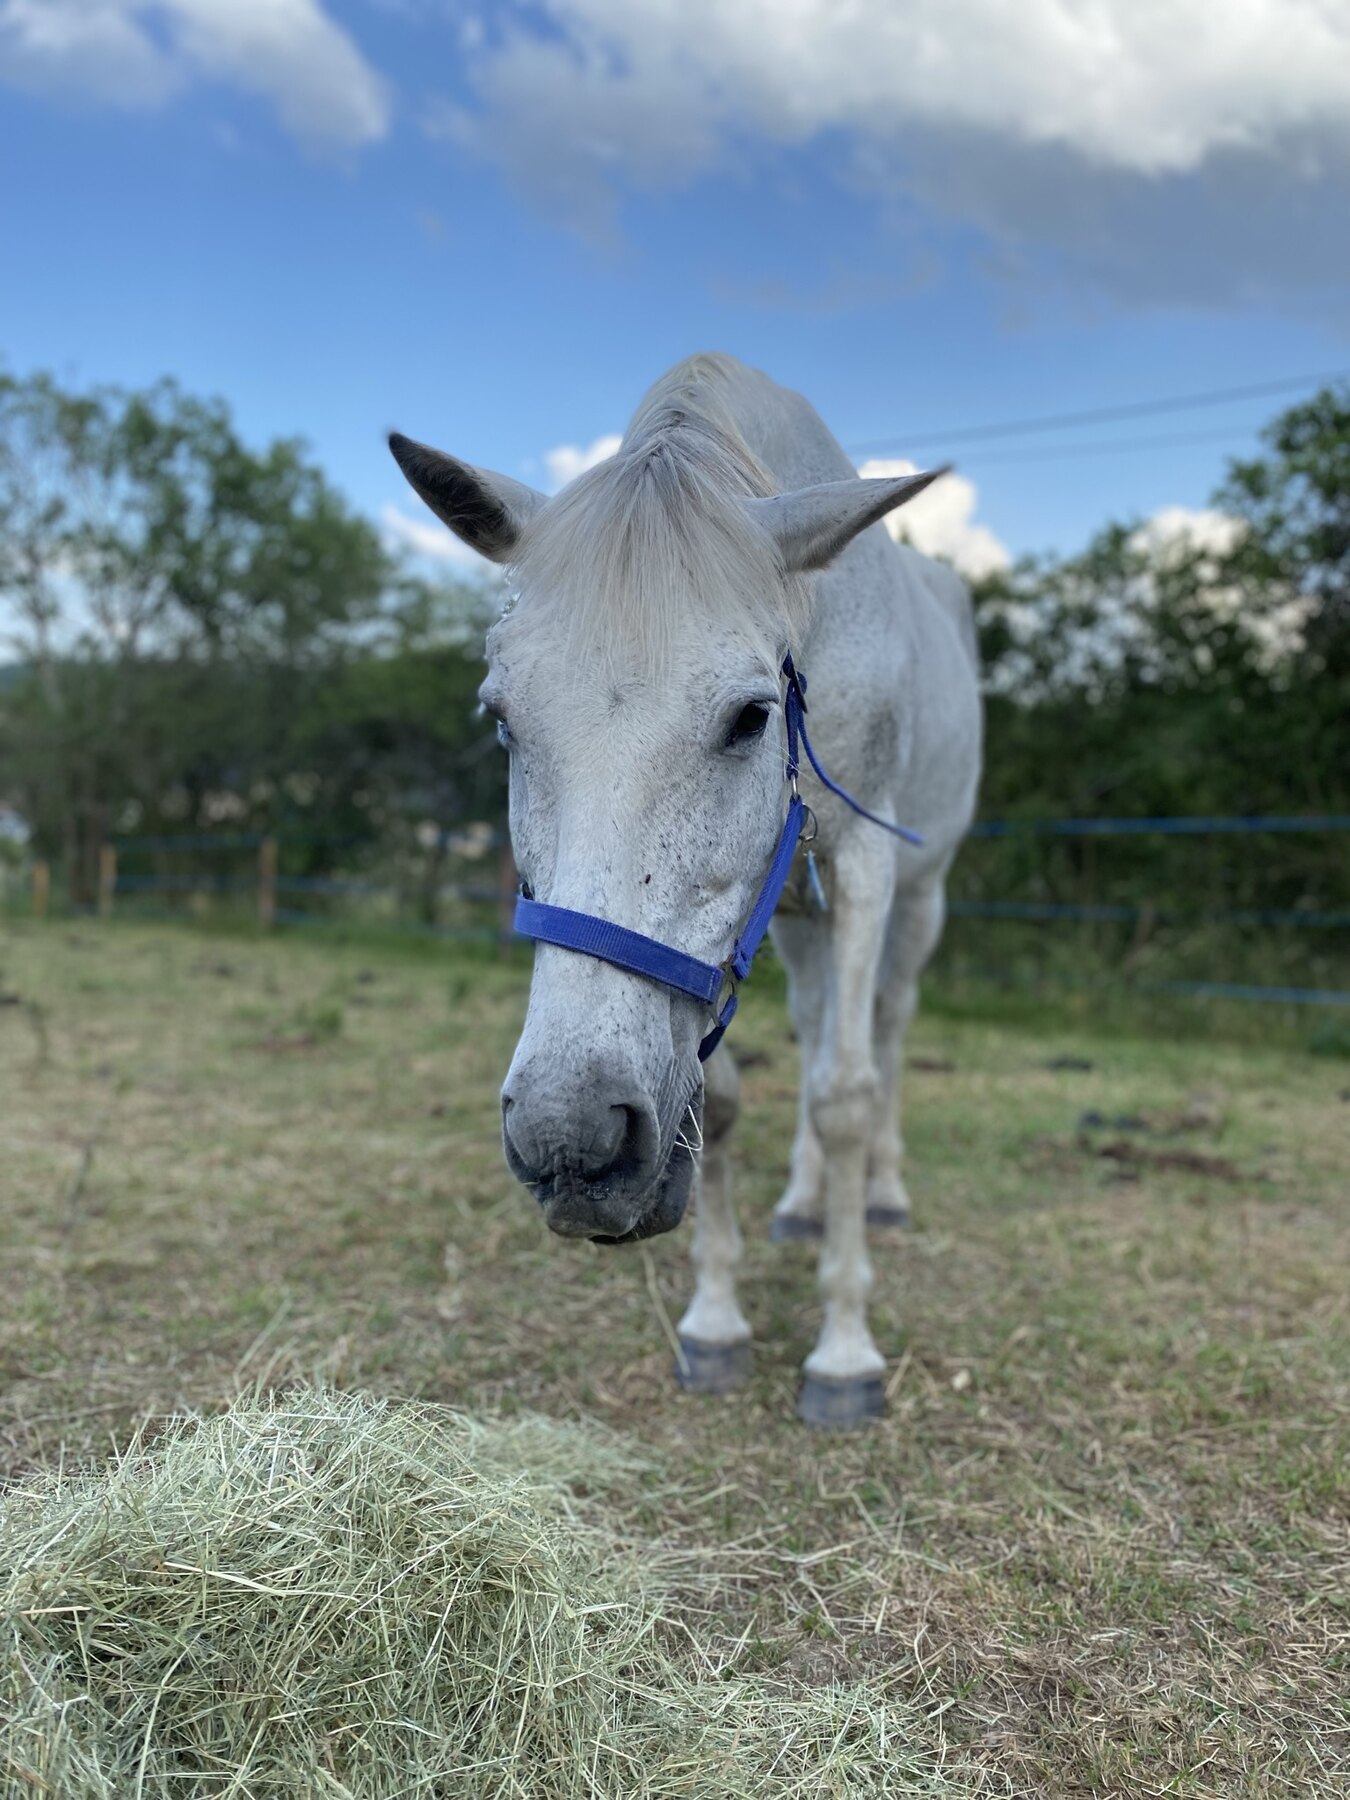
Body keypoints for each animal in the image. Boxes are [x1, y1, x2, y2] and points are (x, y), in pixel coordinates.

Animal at [389, 352, 983, 1426]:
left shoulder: (867, 869)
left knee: (883, 1033)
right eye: (502, 719)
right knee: (817, 1021)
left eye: (750, 717)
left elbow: (845, 1095)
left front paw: (844, 1351)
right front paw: (715, 1323)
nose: (571, 1140)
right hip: (798, 923)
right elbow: (738, 1099)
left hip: (919, 899)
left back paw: (878, 1194)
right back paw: (801, 1205)